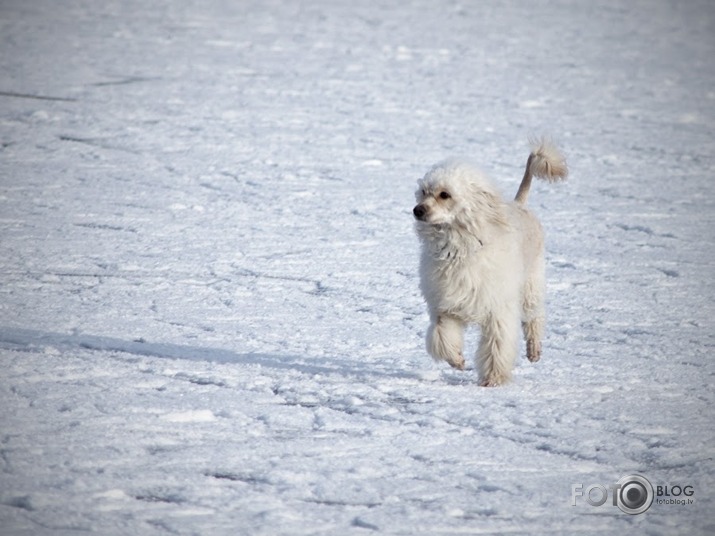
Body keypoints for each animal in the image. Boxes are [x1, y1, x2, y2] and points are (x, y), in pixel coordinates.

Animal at [416, 138, 568, 386]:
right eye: (423, 192)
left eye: (445, 194)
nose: (417, 210)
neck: (460, 247)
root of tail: (520, 204)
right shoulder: (446, 306)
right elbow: (441, 336)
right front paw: (457, 360)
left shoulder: (498, 309)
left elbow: (497, 346)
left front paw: (493, 379)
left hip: (531, 284)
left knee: (535, 317)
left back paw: (534, 349)